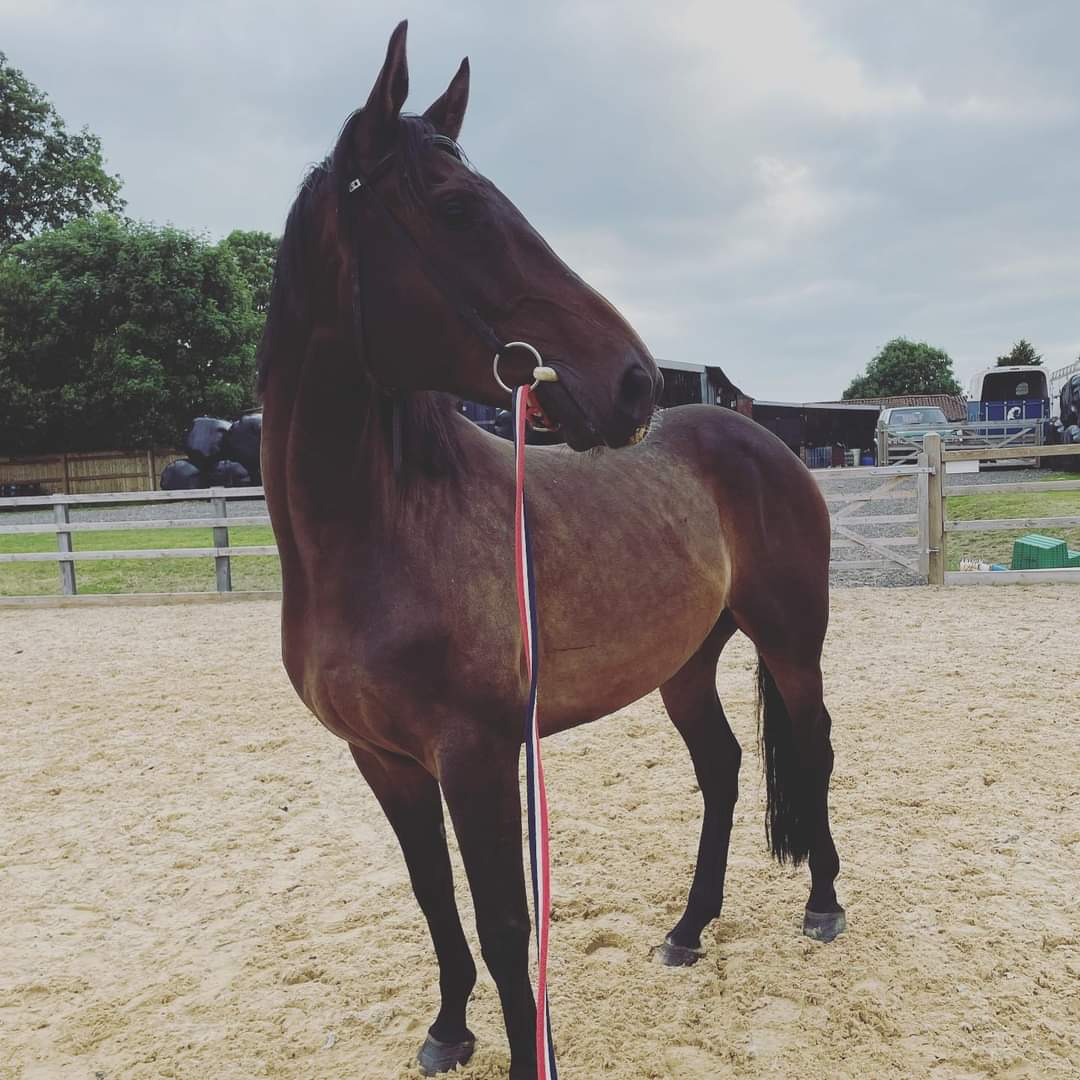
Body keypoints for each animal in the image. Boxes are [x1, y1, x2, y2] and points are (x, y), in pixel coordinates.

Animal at [258, 22, 845, 1079]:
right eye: (455, 209)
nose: (634, 379)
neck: (380, 537)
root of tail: (761, 438)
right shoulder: (386, 761)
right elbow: (436, 904)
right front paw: (449, 1030)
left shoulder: (480, 756)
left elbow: (504, 926)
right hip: (687, 664)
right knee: (725, 767)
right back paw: (689, 928)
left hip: (791, 640)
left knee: (812, 749)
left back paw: (823, 903)